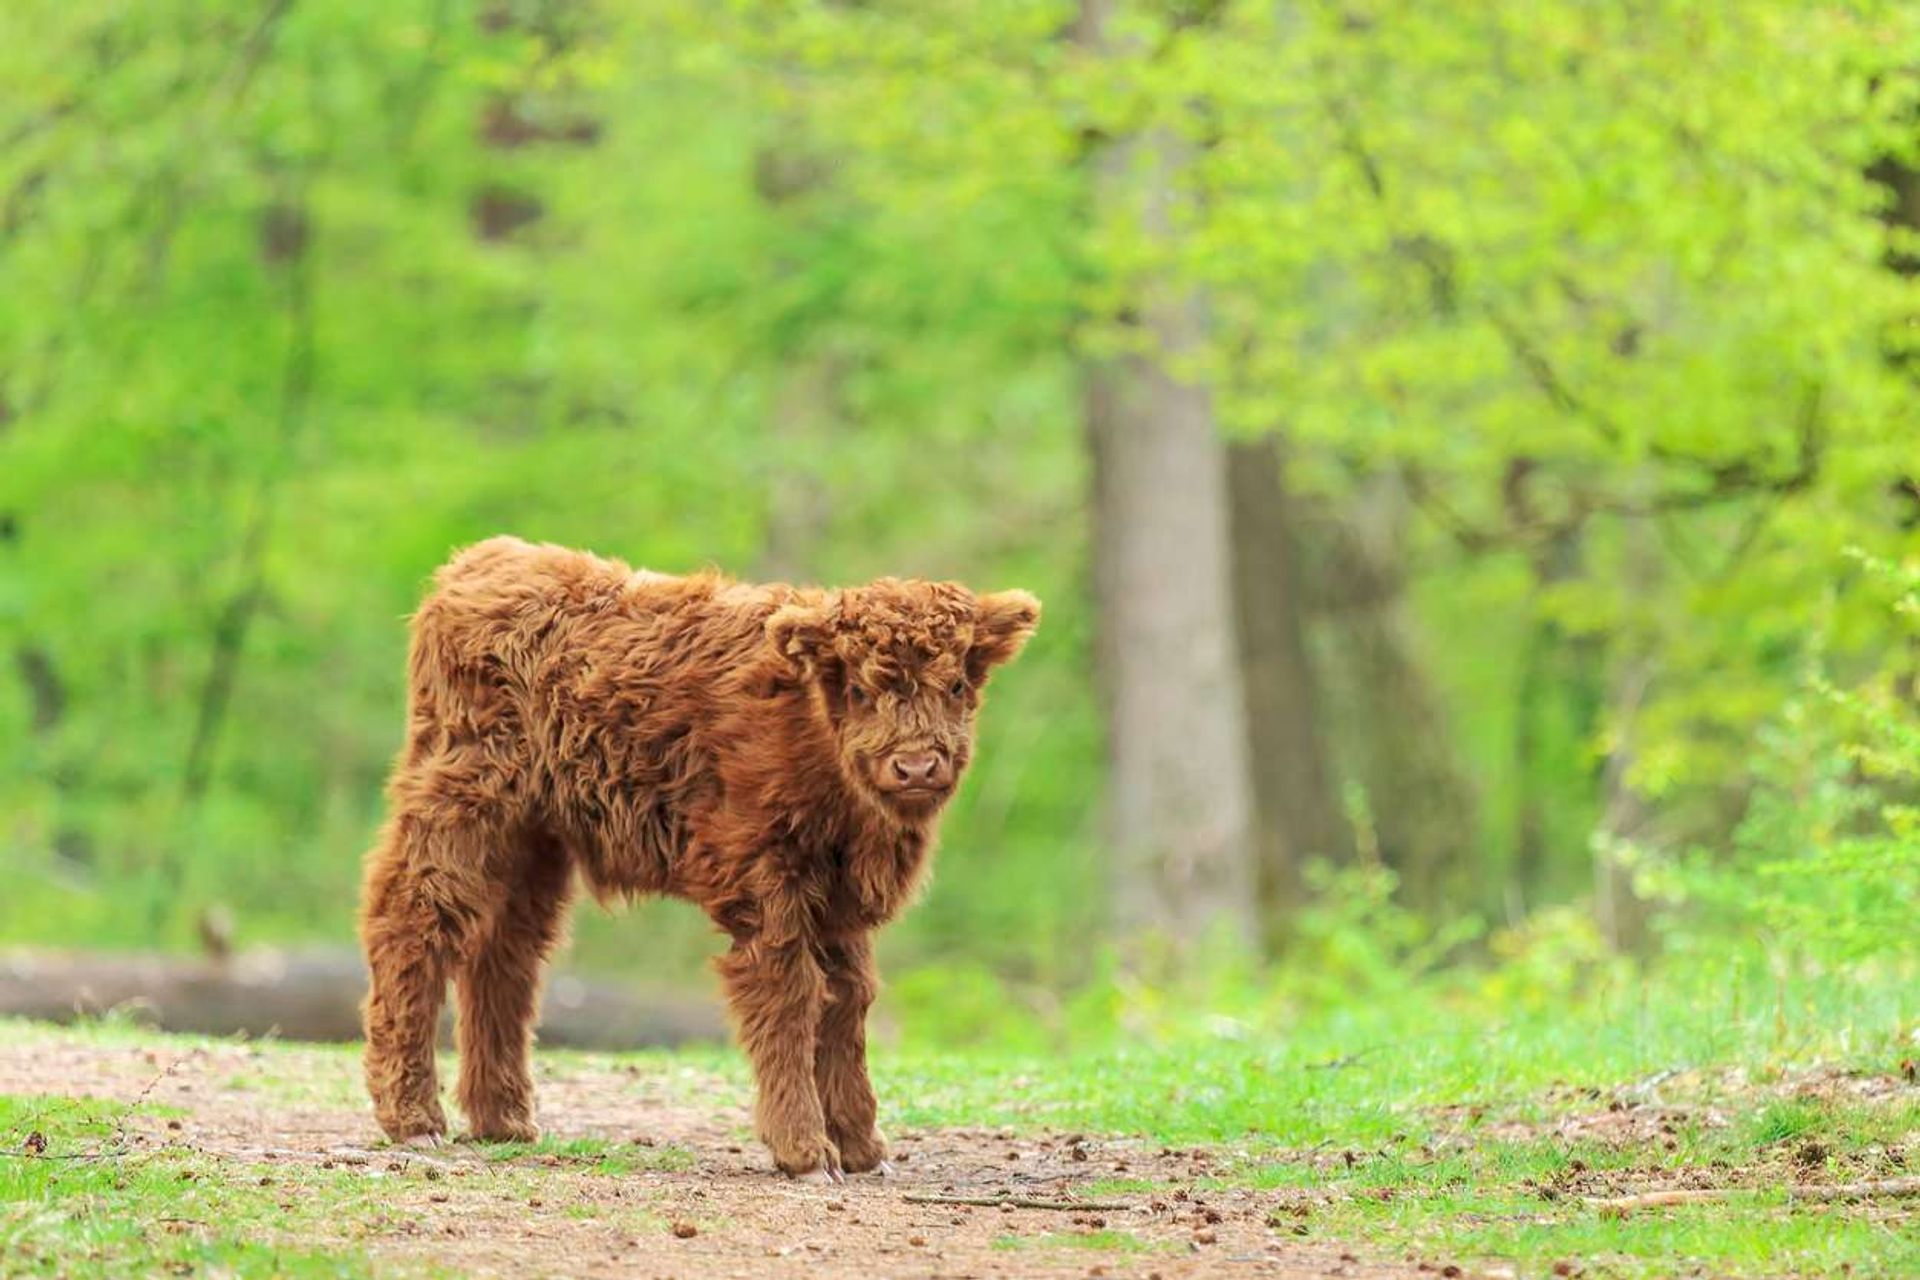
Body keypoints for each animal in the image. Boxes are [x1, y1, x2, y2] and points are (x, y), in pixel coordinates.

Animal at [359, 537, 1036, 1182]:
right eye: (862, 690)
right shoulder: (768, 886)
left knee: (505, 955)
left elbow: (846, 1005)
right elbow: (791, 998)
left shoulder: (839, 904)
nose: (917, 766)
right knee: (412, 922)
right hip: (463, 810)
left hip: (534, 844)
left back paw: (505, 1121)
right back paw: (415, 1119)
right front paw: (807, 1154)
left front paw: (863, 1149)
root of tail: (479, 563)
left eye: (956, 685)